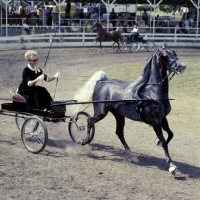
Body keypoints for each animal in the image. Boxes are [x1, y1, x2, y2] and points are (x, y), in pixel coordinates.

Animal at [74, 43, 186, 174]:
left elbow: (170, 134)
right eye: (165, 55)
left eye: (174, 53)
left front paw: (156, 142)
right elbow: (164, 141)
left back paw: (132, 156)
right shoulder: (155, 121)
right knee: (89, 121)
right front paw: (171, 165)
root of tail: (102, 81)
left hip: (118, 114)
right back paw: (84, 141)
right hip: (100, 112)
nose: (182, 66)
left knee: (119, 132)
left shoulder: (163, 118)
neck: (152, 93)